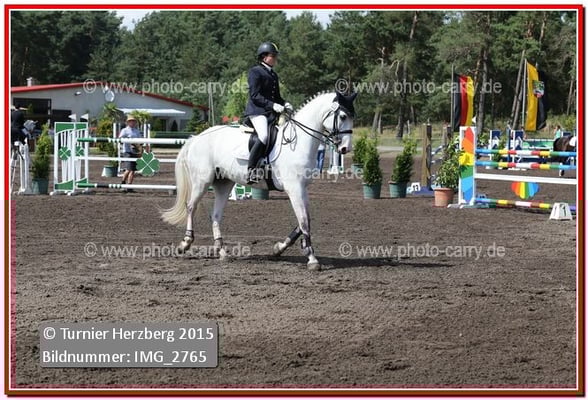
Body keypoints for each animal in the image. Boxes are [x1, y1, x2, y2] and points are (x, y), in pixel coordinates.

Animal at [161, 91, 357, 270]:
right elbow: (303, 222)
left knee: (215, 215)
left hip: (223, 183)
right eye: (342, 116)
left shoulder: (302, 189)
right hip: (202, 181)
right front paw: (312, 259)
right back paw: (185, 243)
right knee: (191, 207)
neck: (298, 142)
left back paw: (221, 251)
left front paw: (279, 248)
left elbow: (305, 221)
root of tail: (197, 137)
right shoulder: (294, 189)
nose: (345, 148)